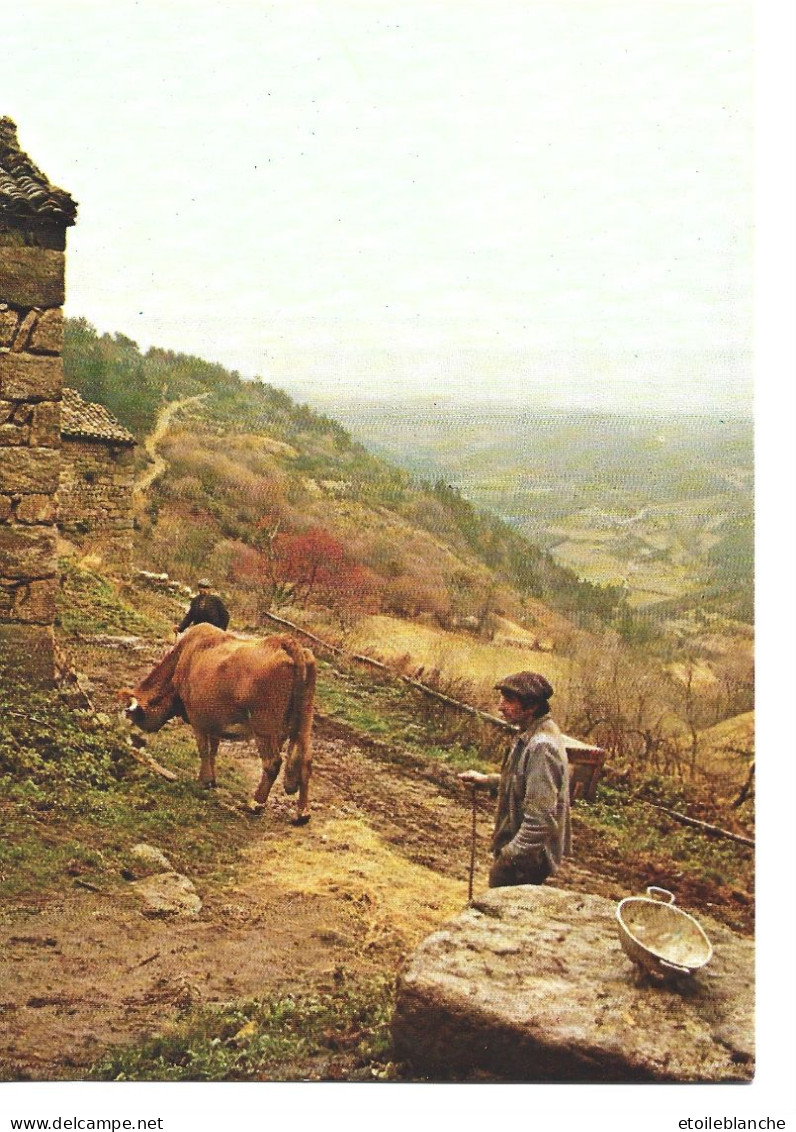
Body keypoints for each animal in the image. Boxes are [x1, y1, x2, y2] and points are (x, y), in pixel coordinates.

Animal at [121, 629, 314, 824]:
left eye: (133, 718)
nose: (136, 742)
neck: (182, 658)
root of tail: (284, 641)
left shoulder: (197, 717)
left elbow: (204, 749)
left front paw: (203, 781)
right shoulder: (213, 720)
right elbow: (213, 749)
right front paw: (211, 780)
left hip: (264, 727)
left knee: (272, 763)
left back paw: (254, 804)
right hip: (303, 725)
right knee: (306, 760)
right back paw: (302, 812)